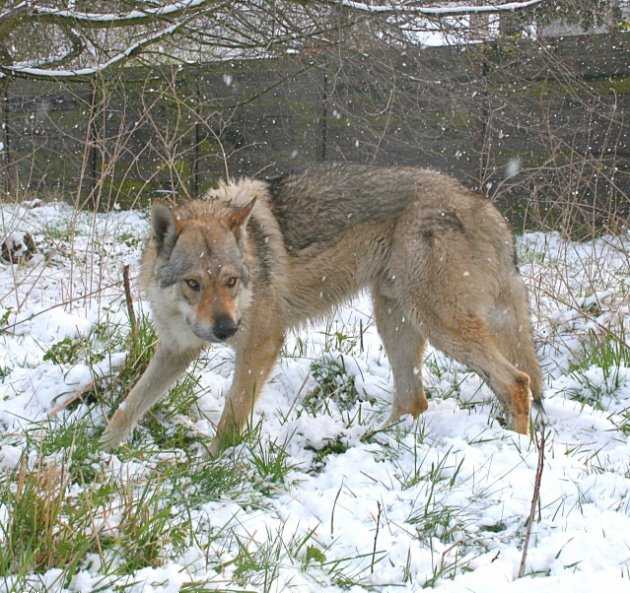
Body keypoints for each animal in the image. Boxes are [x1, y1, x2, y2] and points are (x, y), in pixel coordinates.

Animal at [102, 164, 544, 450]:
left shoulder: (261, 345)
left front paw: (210, 467)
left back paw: (517, 451)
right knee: (413, 400)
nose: (227, 329)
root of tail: (488, 208)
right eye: (193, 284)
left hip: (439, 325)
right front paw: (98, 453)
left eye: (231, 281)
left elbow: (231, 417)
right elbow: (127, 408)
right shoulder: (177, 349)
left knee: (516, 381)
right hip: (395, 321)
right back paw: (373, 442)